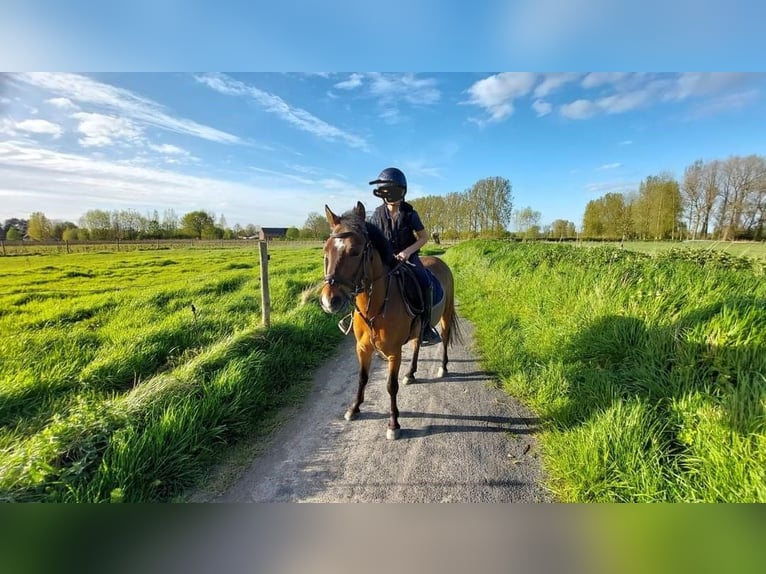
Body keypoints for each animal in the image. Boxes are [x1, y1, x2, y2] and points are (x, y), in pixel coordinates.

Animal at [322, 202, 462, 440]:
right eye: (326, 251)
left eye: (355, 251)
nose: (329, 301)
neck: (375, 308)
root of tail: (439, 261)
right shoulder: (362, 349)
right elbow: (362, 378)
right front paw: (354, 408)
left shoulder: (394, 352)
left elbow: (390, 386)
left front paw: (393, 424)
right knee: (416, 344)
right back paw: (411, 373)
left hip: (446, 314)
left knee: (444, 339)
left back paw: (442, 368)